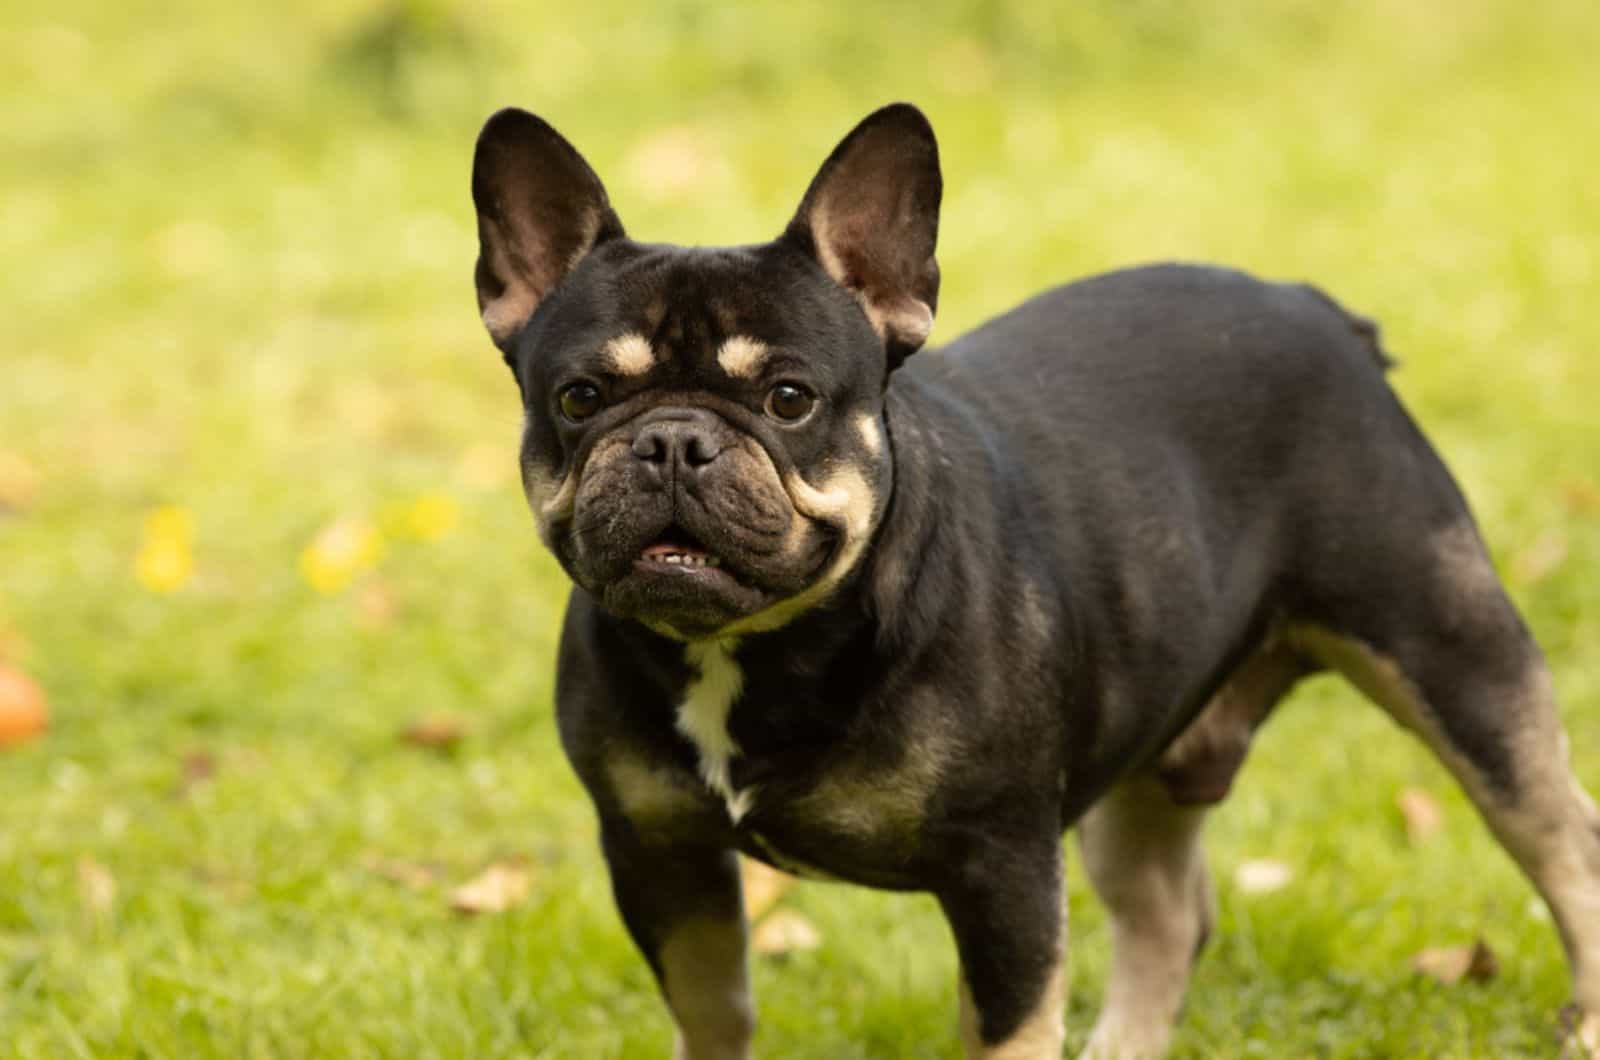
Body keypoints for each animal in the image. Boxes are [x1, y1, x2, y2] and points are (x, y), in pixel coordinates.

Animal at [470, 101, 1600, 1060]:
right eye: (578, 397)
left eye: (789, 398)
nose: (671, 441)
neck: (757, 646)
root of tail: (1318, 313)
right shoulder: (661, 856)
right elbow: (713, 1012)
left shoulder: (1001, 872)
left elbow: (1006, 1032)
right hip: (1146, 754)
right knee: (1166, 915)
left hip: (1456, 665)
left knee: (1564, 847)